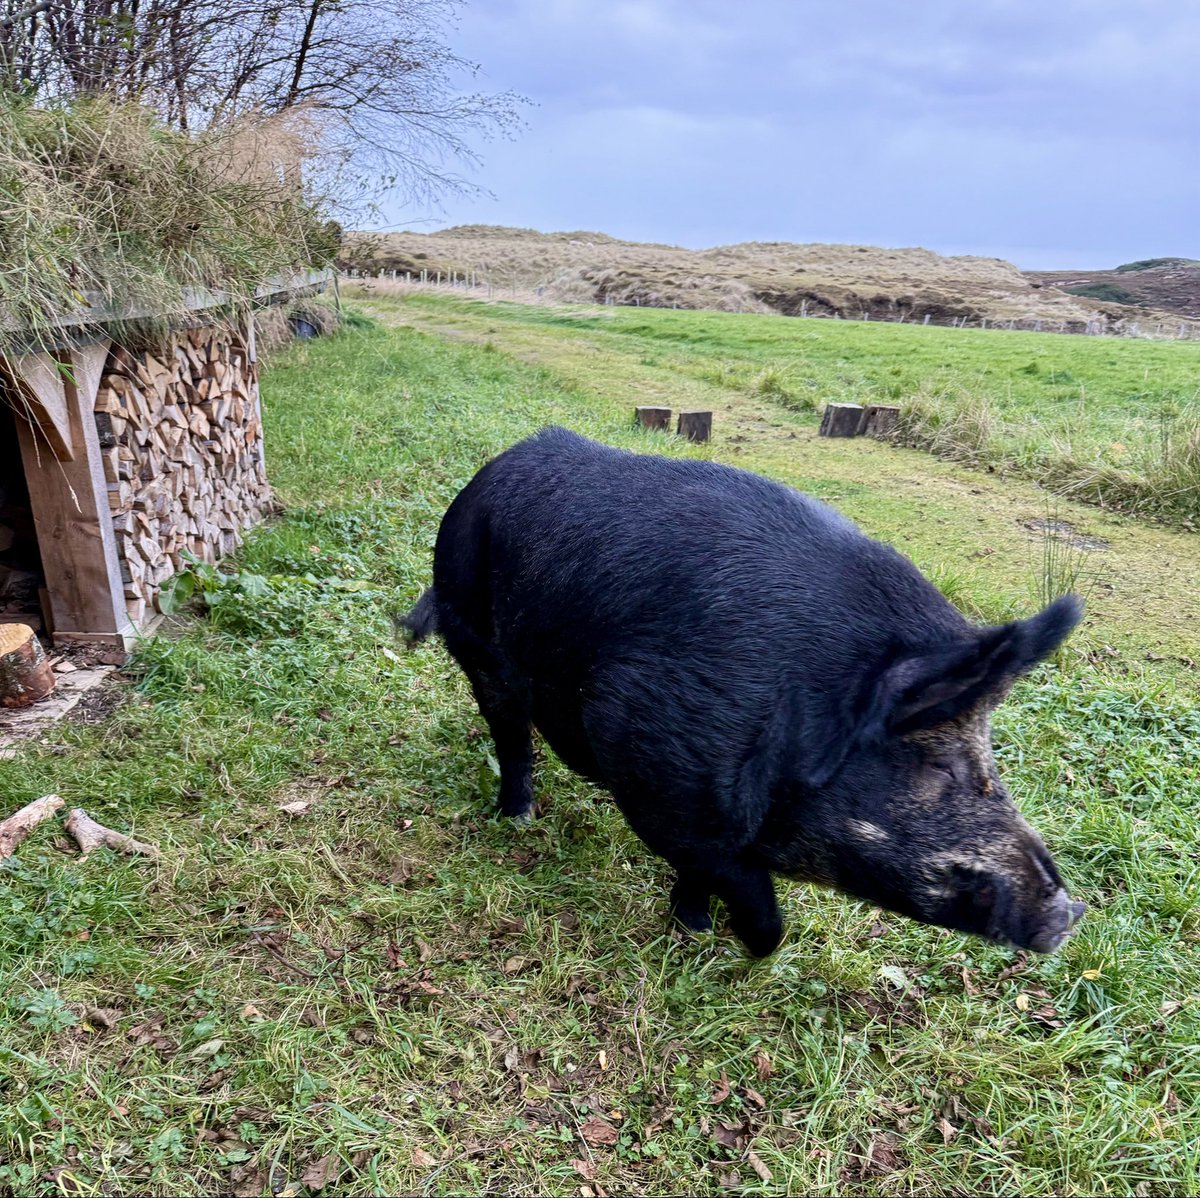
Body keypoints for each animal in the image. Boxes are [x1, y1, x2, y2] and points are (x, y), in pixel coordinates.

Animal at [404, 427, 1086, 957]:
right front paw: (731, 940)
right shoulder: (651, 763)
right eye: (940, 764)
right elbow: (750, 897)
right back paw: (518, 817)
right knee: (510, 733)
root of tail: (484, 477)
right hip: (473, 635)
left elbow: (704, 873)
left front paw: (695, 928)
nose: (1070, 914)